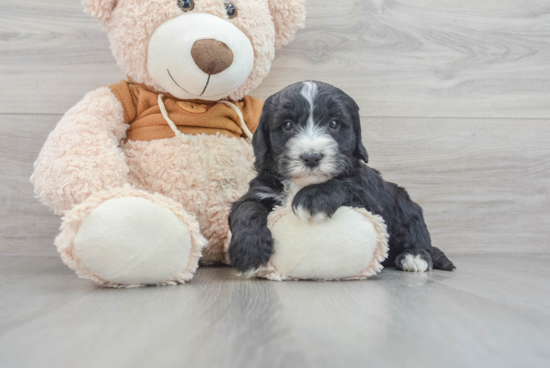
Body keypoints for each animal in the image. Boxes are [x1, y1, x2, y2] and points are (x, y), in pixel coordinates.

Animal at [229, 82, 458, 274]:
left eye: (334, 123)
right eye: (287, 125)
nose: (312, 157)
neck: (303, 183)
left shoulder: (372, 203)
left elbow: (344, 185)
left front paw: (313, 197)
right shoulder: (261, 191)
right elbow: (246, 208)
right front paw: (249, 251)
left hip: (408, 210)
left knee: (419, 238)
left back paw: (415, 257)